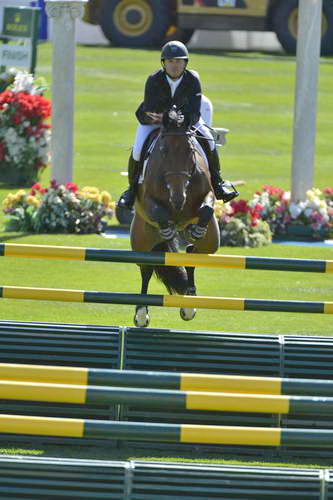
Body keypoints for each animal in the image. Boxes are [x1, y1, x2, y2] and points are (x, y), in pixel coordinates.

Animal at [130, 104, 220, 328]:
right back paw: (141, 313)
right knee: (146, 267)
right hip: (141, 239)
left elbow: (206, 208)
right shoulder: (148, 200)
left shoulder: (209, 193)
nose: (179, 199)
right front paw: (167, 229)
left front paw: (197, 229)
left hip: (211, 242)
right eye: (163, 151)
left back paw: (189, 304)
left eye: (190, 151)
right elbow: (158, 212)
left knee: (191, 254)